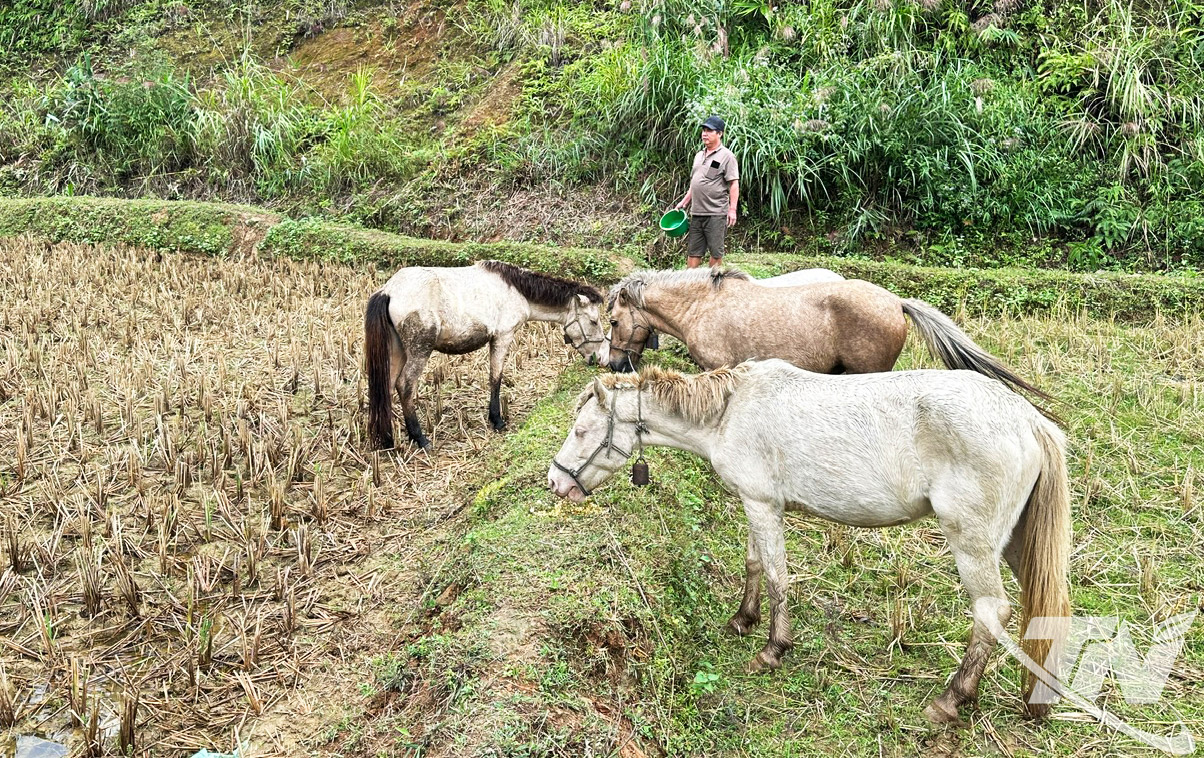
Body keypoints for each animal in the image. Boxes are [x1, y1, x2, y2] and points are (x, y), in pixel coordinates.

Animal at [365, 260, 609, 449]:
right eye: (594, 321)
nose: (601, 358)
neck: (516, 290)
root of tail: (389, 290)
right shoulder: (503, 337)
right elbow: (495, 378)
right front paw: (497, 420)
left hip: (398, 350)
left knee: (388, 386)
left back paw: (387, 438)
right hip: (418, 351)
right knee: (405, 385)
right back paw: (419, 438)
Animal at [547, 360, 1071, 723]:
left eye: (580, 429)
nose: (555, 481)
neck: (729, 412)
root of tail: (1027, 419)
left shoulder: (763, 505)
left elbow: (777, 575)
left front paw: (773, 649)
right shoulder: (756, 505)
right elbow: (754, 564)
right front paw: (743, 620)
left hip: (973, 545)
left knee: (991, 612)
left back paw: (951, 699)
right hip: (1016, 543)